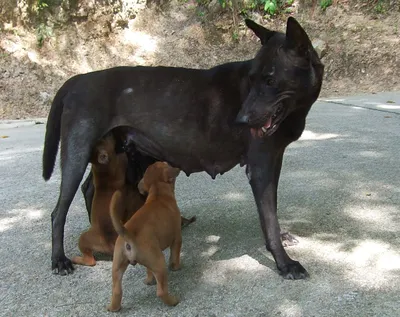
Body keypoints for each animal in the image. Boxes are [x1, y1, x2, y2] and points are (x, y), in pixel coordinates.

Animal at [72, 135, 144, 266]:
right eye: (105, 138)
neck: (102, 168)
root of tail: (109, 245)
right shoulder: (123, 165)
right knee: (90, 260)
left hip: (87, 239)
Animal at [106, 162, 181, 310]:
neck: (158, 192)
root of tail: (128, 234)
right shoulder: (177, 238)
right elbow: (175, 255)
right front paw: (176, 267)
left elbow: (148, 270)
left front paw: (149, 280)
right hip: (159, 262)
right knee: (161, 291)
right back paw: (173, 301)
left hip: (117, 266)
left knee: (117, 291)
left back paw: (113, 308)